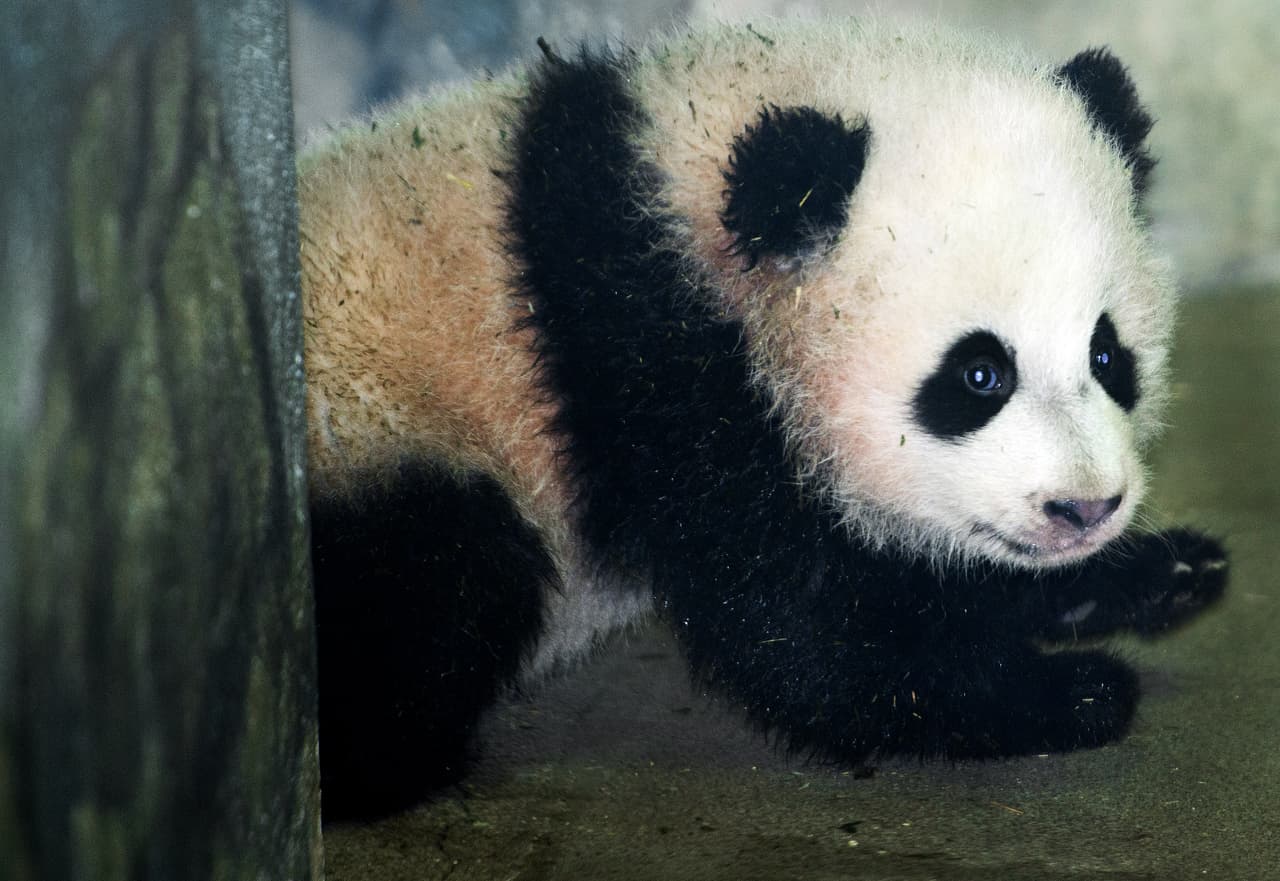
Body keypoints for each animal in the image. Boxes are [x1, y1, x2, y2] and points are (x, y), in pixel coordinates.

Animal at [299, 18, 1228, 819]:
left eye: (1108, 356)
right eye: (978, 375)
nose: (1085, 509)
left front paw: (1157, 570)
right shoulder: (649, 360)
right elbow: (795, 622)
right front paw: (1070, 692)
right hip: (382, 447)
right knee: (448, 583)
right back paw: (394, 763)